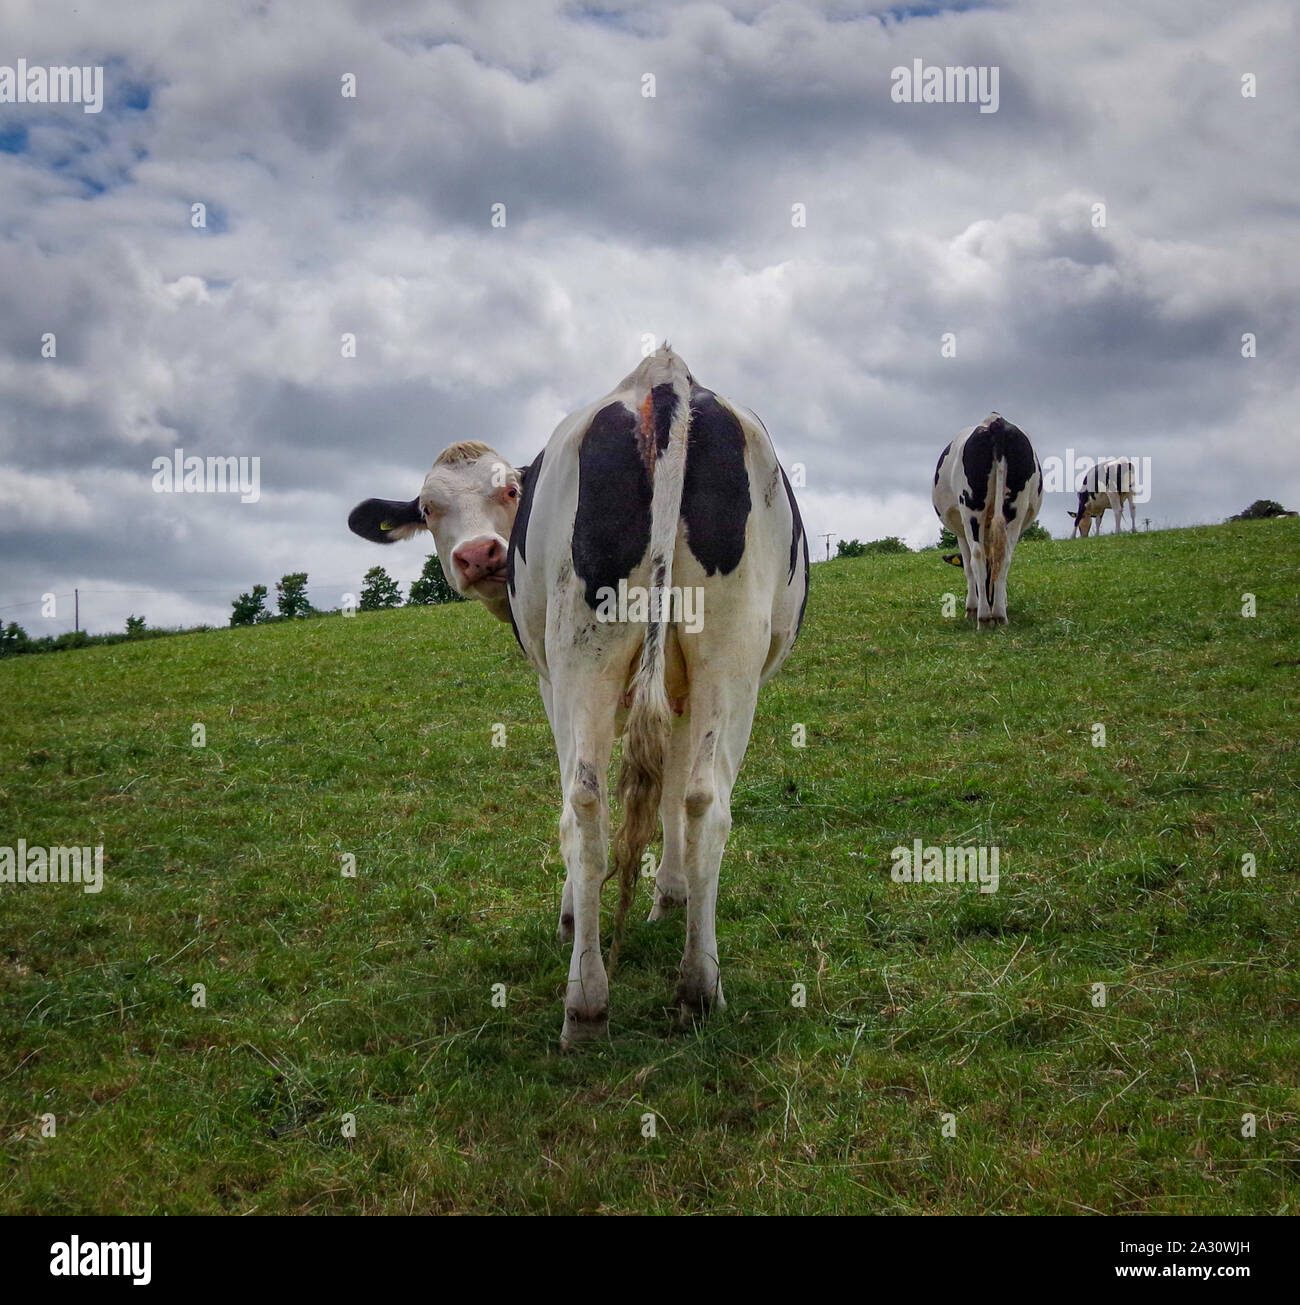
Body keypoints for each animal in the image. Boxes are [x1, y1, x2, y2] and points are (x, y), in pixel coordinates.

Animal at [349, 347, 809, 1049]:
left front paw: (583, 909)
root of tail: (664, 379)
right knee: (704, 801)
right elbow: (673, 793)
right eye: (428, 509)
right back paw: (697, 989)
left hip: (578, 656)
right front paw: (670, 894)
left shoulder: (548, 679)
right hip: (728, 653)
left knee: (585, 804)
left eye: (510, 490)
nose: (479, 554)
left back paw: (585, 1000)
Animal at [934, 412, 1044, 626]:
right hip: (1015, 508)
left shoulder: (961, 532)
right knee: (1004, 556)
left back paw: (984, 616)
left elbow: (968, 567)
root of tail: (995, 421)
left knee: (977, 557)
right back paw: (999, 614)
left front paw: (971, 608)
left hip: (970, 507)